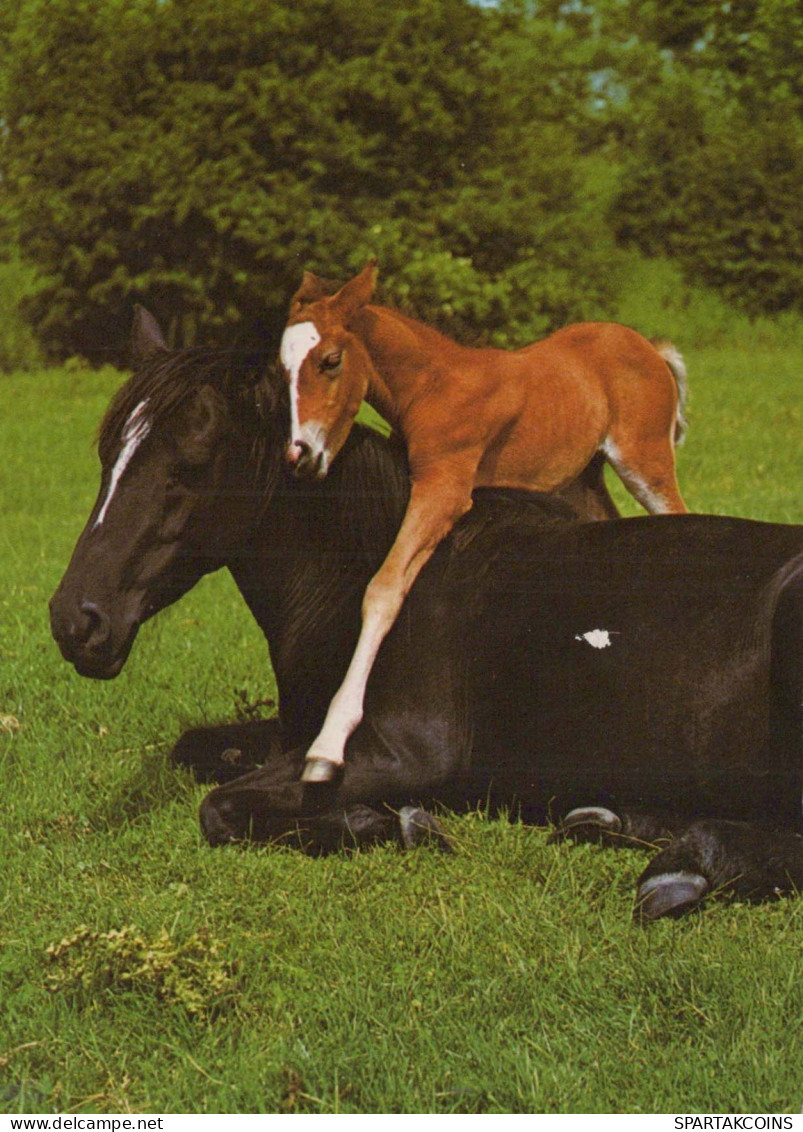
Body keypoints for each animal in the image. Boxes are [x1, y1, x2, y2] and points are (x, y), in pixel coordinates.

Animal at [278, 262, 684, 778]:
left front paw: (326, 748)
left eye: (331, 361)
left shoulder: (444, 492)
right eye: (283, 369)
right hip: (585, 479)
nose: (300, 456)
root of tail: (648, 346)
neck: (431, 390)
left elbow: (384, 589)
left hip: (645, 463)